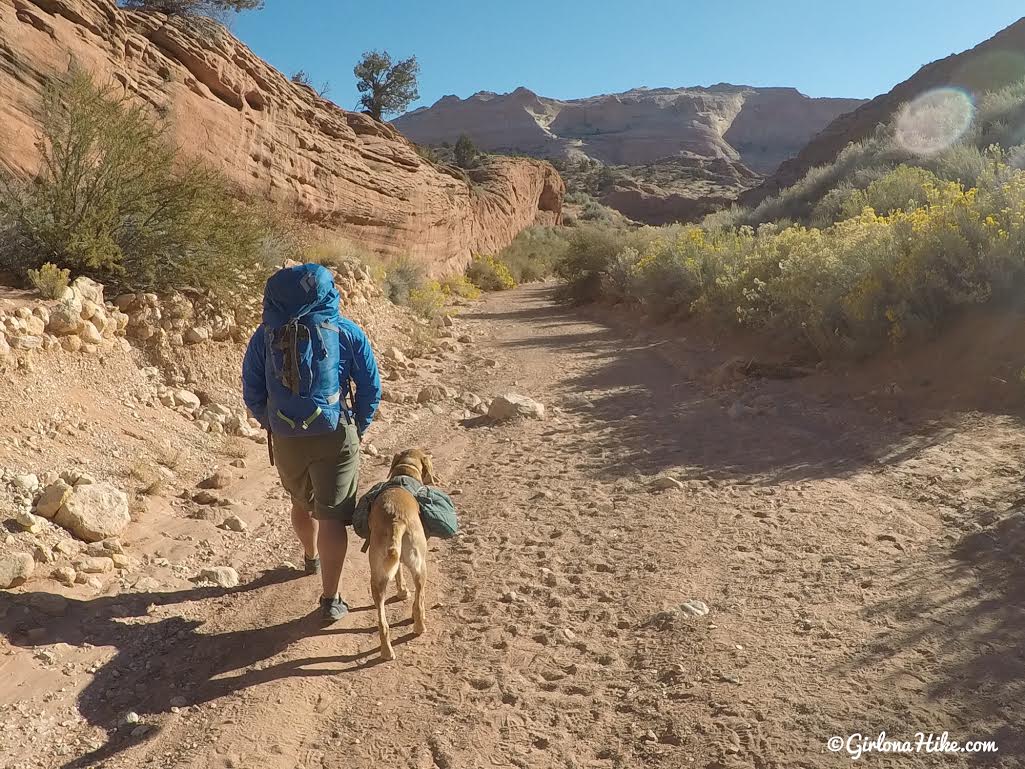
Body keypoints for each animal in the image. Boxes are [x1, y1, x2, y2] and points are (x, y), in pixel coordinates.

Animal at [366, 451, 434, 664]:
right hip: (421, 568)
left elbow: (399, 574)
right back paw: (419, 627)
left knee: (382, 622)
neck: (405, 471)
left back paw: (386, 652)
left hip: (377, 578)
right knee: (419, 601)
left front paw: (402, 591)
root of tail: (396, 519)